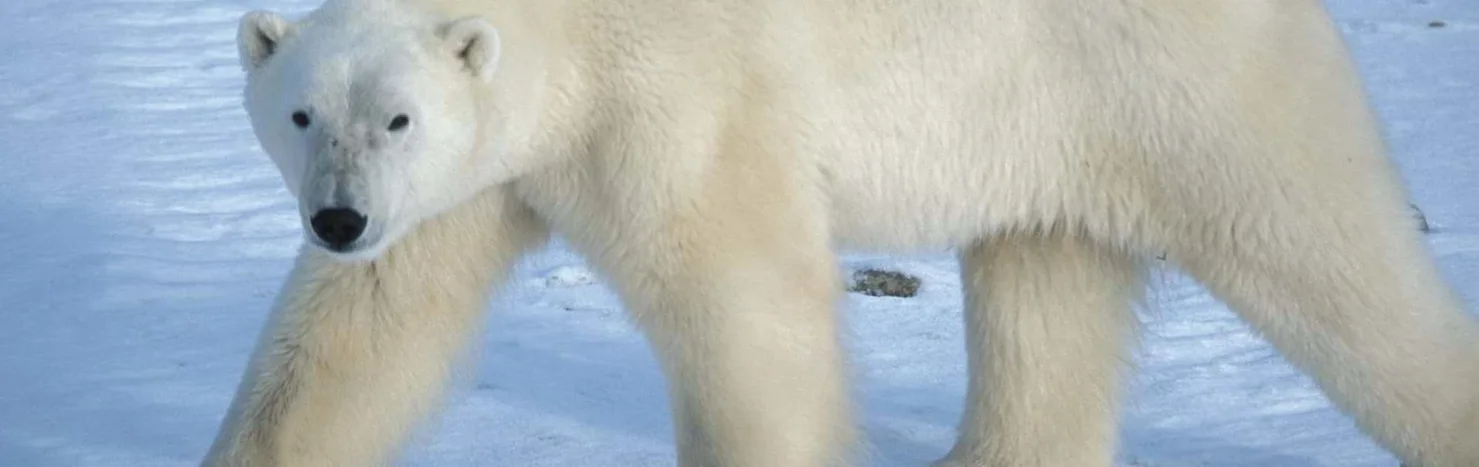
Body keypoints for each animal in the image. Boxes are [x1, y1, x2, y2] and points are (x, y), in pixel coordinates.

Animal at [200, 0, 1479, 465]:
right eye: (304, 112)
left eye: (399, 115)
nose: (336, 214)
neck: (570, 32)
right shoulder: (474, 182)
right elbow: (356, 336)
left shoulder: (677, 105)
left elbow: (746, 313)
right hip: (1045, 135)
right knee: (1045, 299)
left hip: (1188, 92)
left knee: (1341, 270)